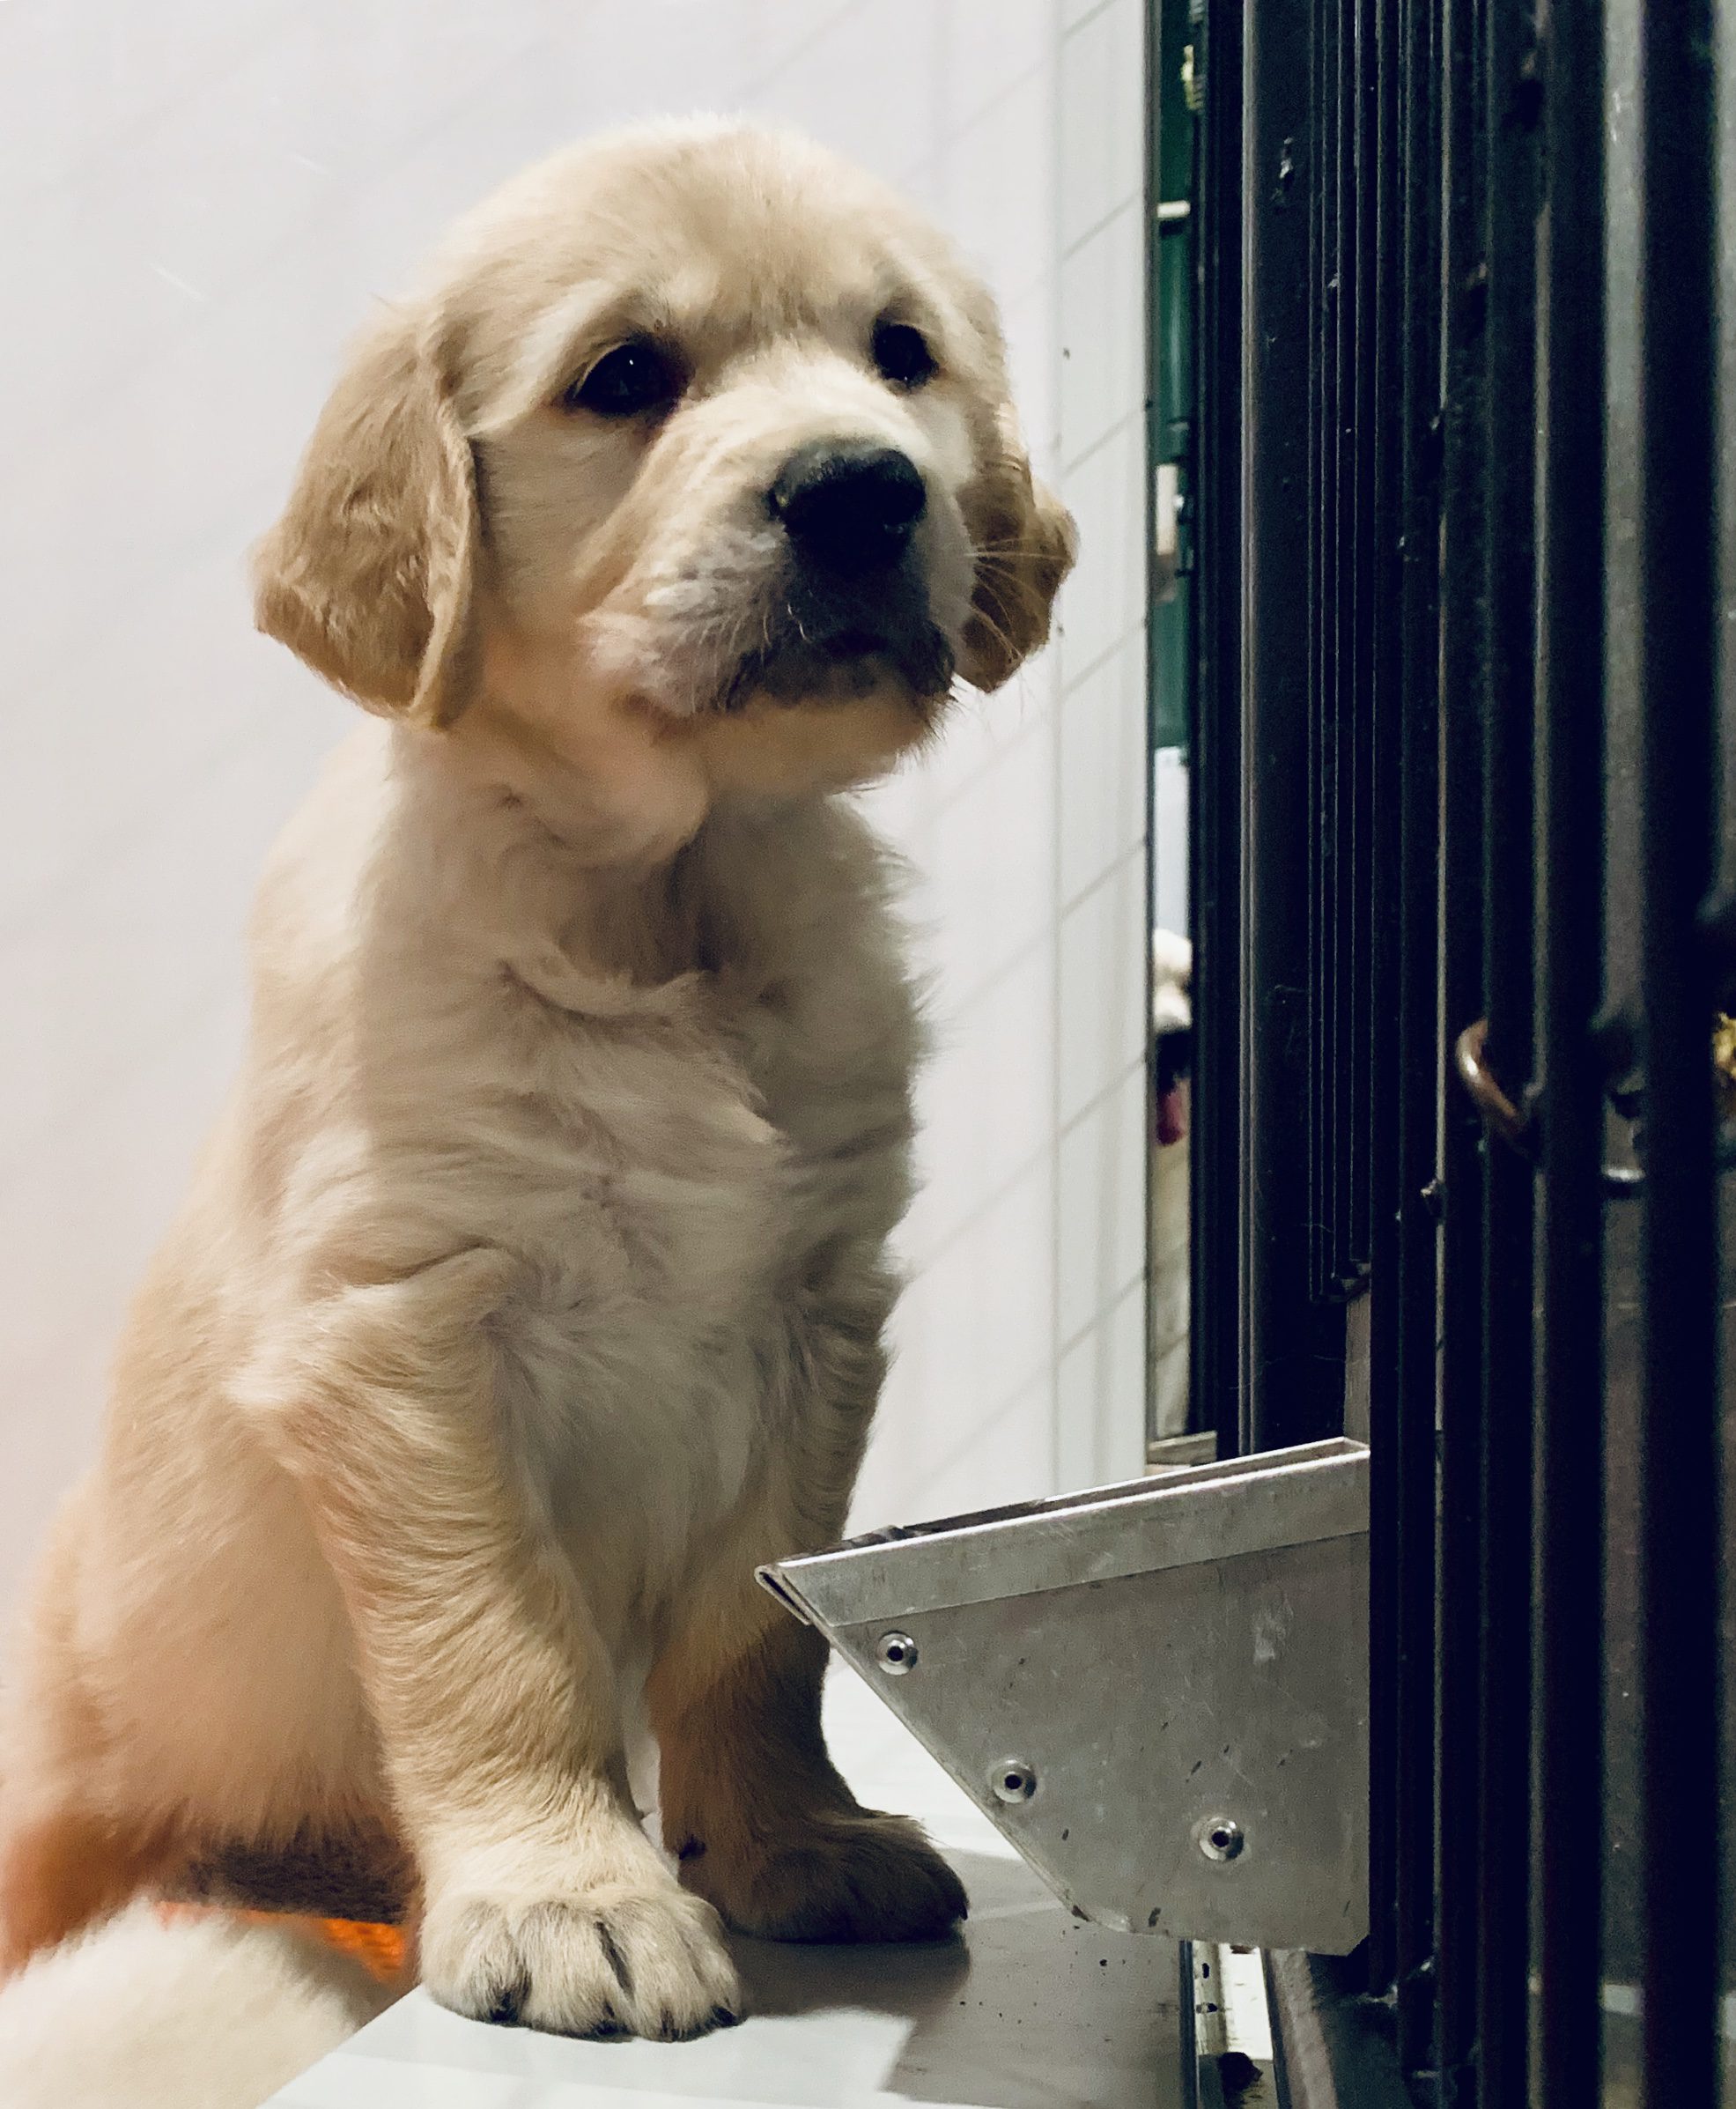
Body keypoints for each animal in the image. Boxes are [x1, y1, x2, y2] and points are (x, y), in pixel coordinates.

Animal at [0, 123, 1071, 2100]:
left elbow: (754, 1640)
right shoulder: (406, 1332)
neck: (665, 907)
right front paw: (574, 1893)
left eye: (901, 354)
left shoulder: (815, 1317)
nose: (860, 494)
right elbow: (498, 1649)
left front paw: (785, 1840)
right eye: (624, 375)